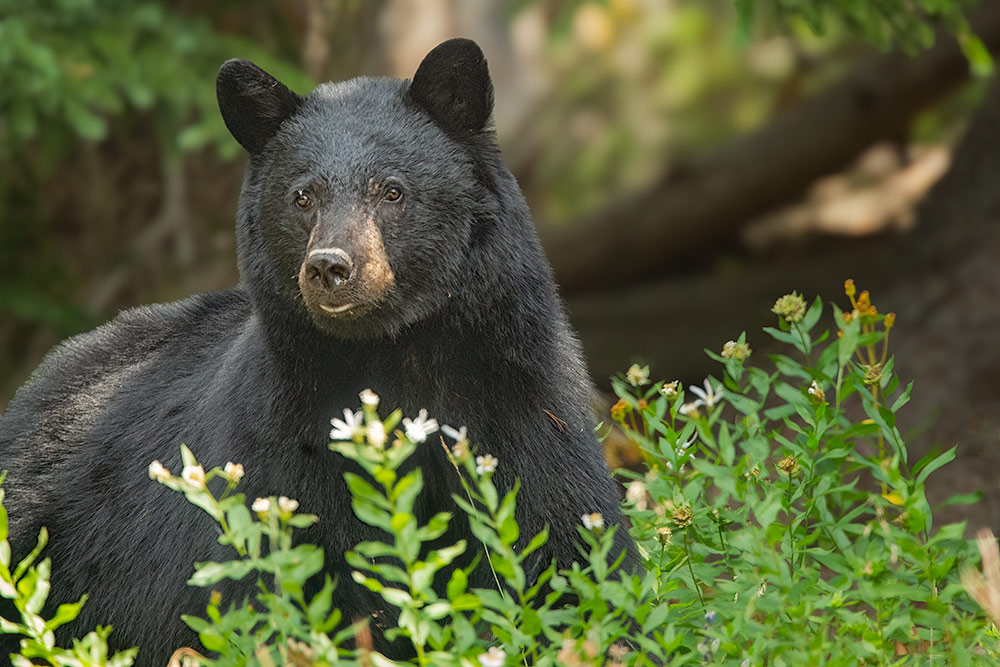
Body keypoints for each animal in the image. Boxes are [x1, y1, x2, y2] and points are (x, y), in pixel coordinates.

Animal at [0, 39, 636, 664]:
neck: (396, 355)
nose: (330, 266)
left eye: (392, 190)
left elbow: (571, 546)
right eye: (303, 196)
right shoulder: (281, 449)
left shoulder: (522, 403)